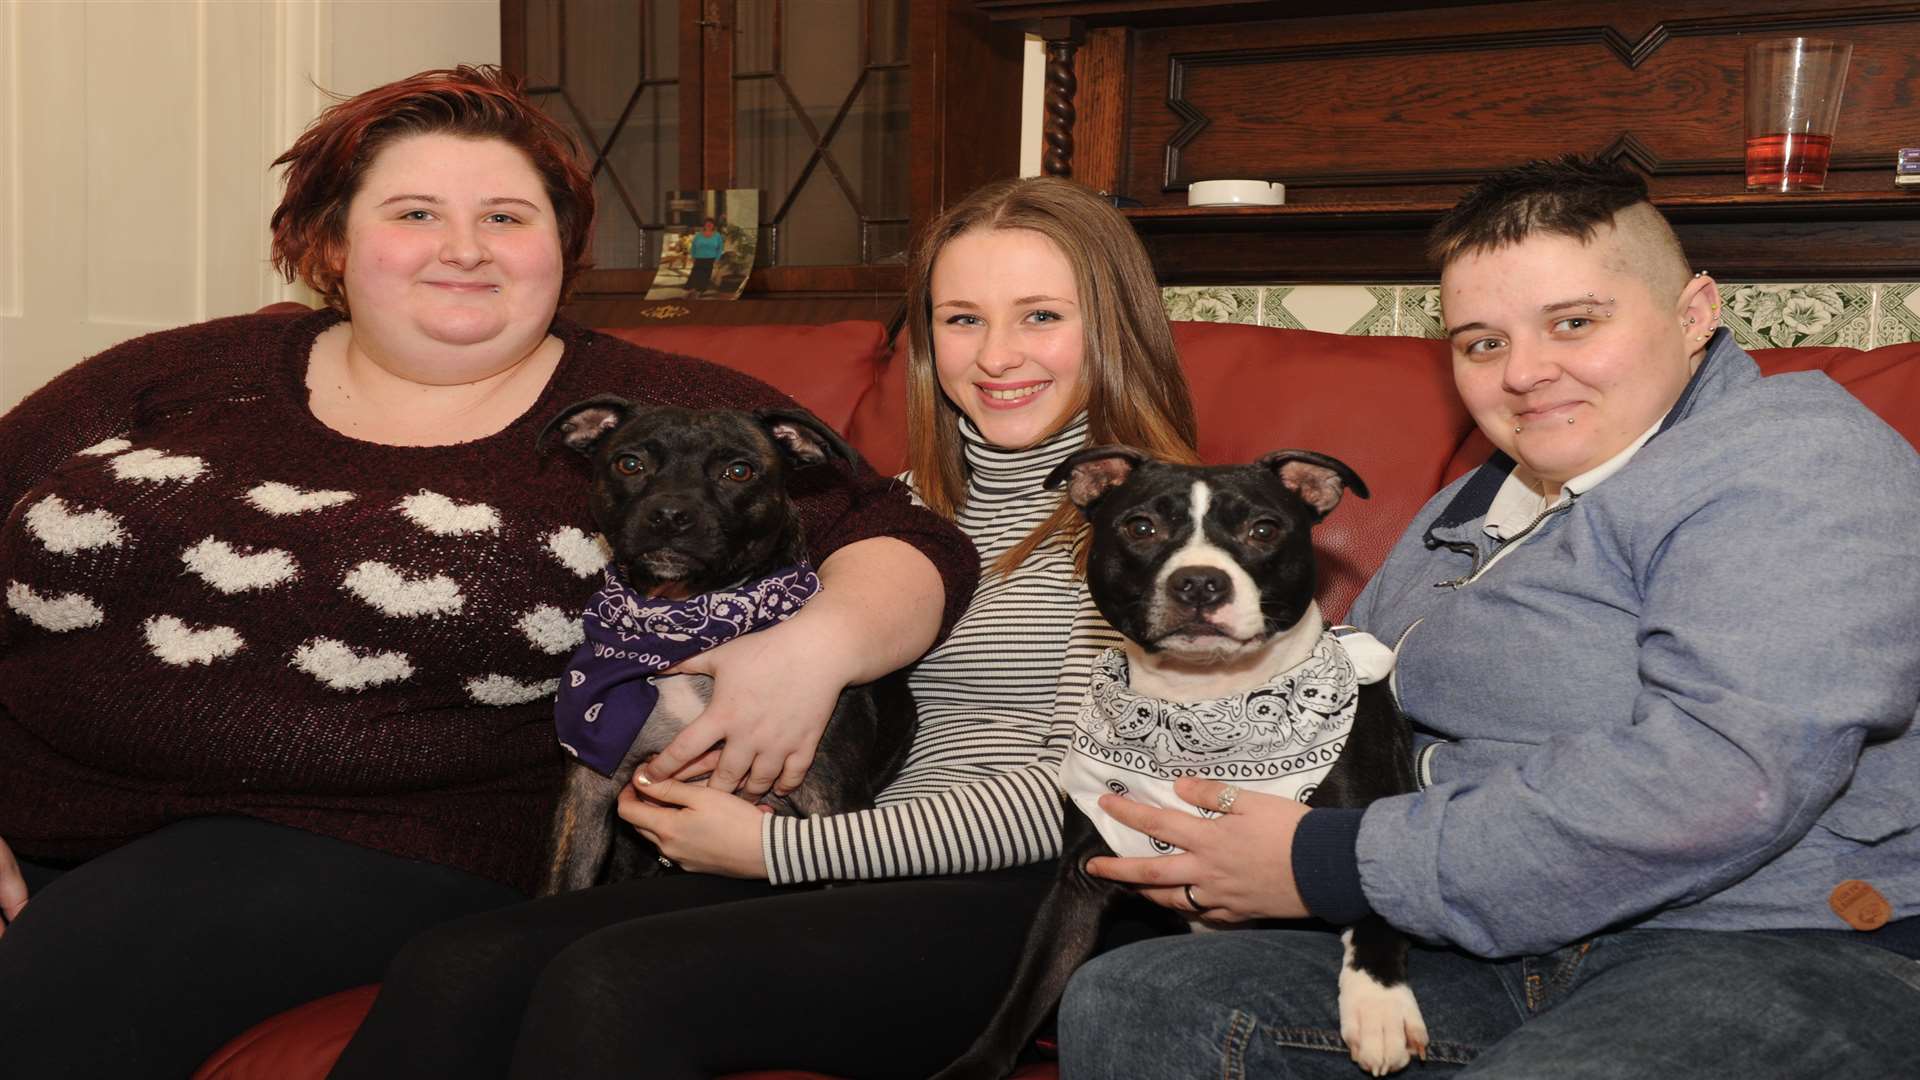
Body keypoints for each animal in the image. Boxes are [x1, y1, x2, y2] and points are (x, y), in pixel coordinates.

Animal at [529, 399, 910, 895]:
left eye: (738, 471)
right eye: (630, 464)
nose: (670, 514)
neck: (680, 626)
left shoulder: (833, 803)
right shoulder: (589, 792)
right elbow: (562, 881)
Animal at [936, 441, 1436, 1068]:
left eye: (1263, 529)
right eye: (1141, 527)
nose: (1200, 582)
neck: (1201, 707)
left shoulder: (1363, 827)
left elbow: (1373, 899)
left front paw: (1378, 1006)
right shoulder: (1079, 880)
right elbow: (1025, 996)